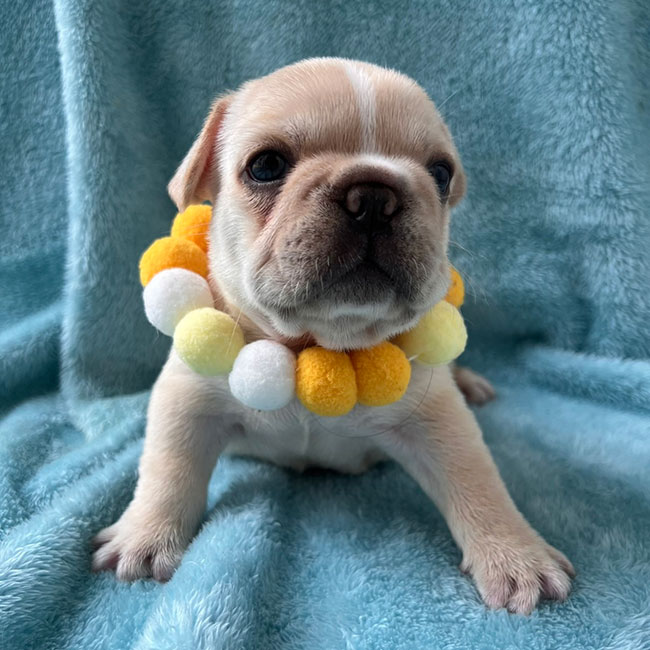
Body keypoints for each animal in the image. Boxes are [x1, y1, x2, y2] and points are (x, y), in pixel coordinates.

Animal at [92, 58, 574, 614]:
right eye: (265, 166)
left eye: (441, 173)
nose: (374, 195)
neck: (316, 345)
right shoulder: (186, 399)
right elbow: (167, 470)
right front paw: (145, 538)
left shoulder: (438, 417)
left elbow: (476, 479)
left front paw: (516, 557)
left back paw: (471, 382)